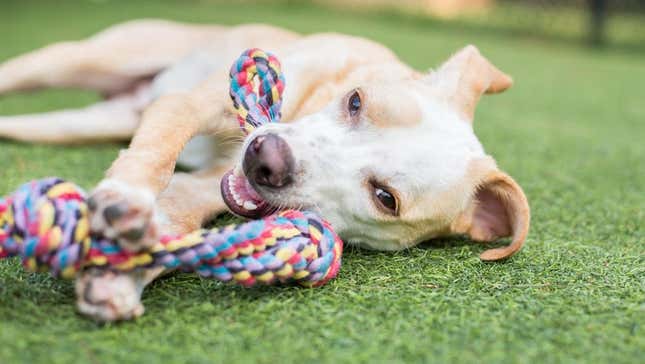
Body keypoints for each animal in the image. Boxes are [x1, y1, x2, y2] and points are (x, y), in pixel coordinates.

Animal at [0, 20, 528, 322]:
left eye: (385, 198)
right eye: (356, 101)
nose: (265, 158)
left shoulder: (209, 185)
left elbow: (176, 217)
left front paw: (118, 276)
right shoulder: (188, 104)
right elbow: (157, 152)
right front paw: (124, 198)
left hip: (77, 125)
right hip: (76, 61)